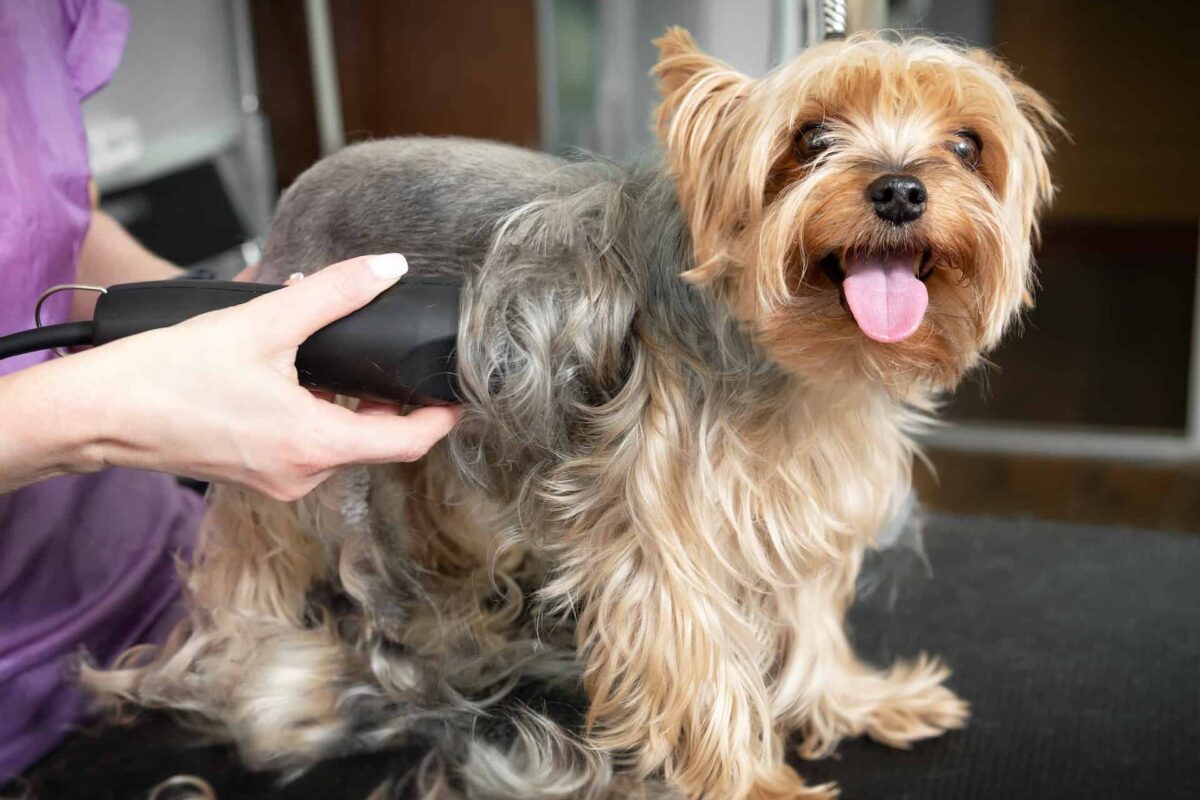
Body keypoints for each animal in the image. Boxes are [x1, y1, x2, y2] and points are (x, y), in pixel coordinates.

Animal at [88, 28, 1056, 796]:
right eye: (810, 137)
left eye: (967, 144)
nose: (899, 189)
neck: (800, 364)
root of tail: (298, 187)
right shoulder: (659, 523)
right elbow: (692, 651)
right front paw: (751, 782)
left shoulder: (810, 488)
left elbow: (812, 611)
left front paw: (854, 699)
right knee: (248, 547)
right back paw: (244, 662)